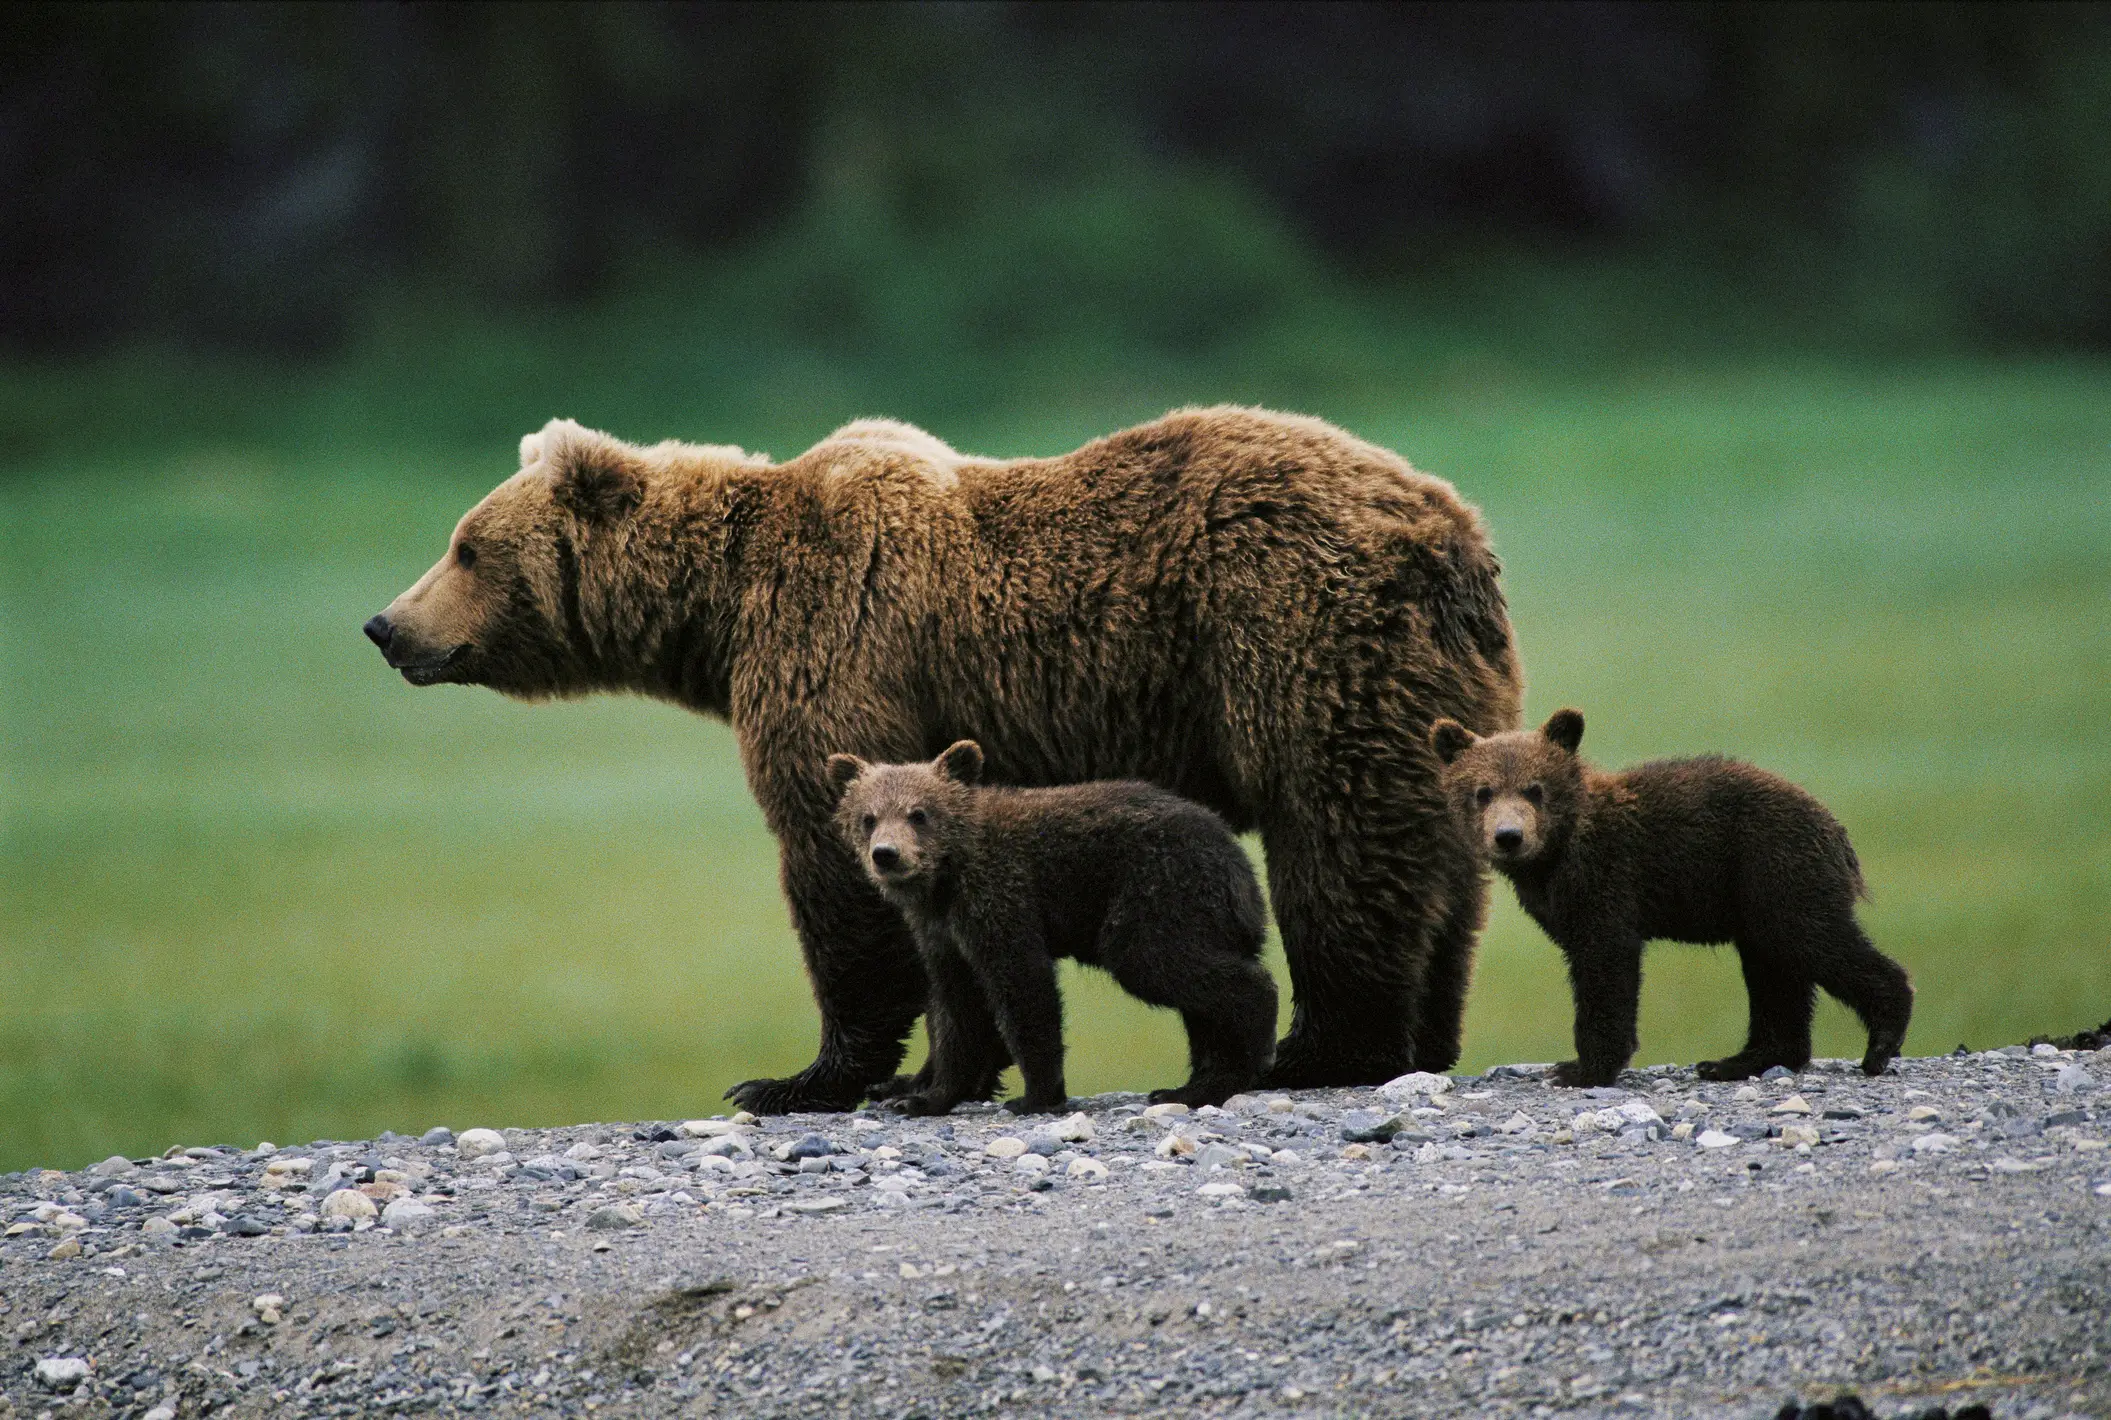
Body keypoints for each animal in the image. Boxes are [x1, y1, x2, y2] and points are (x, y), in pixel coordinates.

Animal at [827, 741, 1278, 1115]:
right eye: (868, 818)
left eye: (919, 814)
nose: (887, 854)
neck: (945, 882)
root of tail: (1239, 862)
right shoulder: (941, 936)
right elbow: (954, 1010)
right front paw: (923, 1096)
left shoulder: (1000, 899)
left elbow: (1024, 989)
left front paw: (1036, 1096)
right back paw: (1190, 1086)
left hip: (1159, 895)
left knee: (1166, 965)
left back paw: (1243, 1056)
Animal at [1430, 709, 1913, 1086]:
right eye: (1483, 791)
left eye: (1534, 788)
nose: (1508, 836)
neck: (1554, 856)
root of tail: (1836, 829)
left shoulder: (1607, 881)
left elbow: (1605, 966)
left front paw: (1581, 1068)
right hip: (1757, 900)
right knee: (1776, 971)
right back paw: (1736, 1061)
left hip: (1777, 870)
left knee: (1815, 940)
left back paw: (1881, 1041)